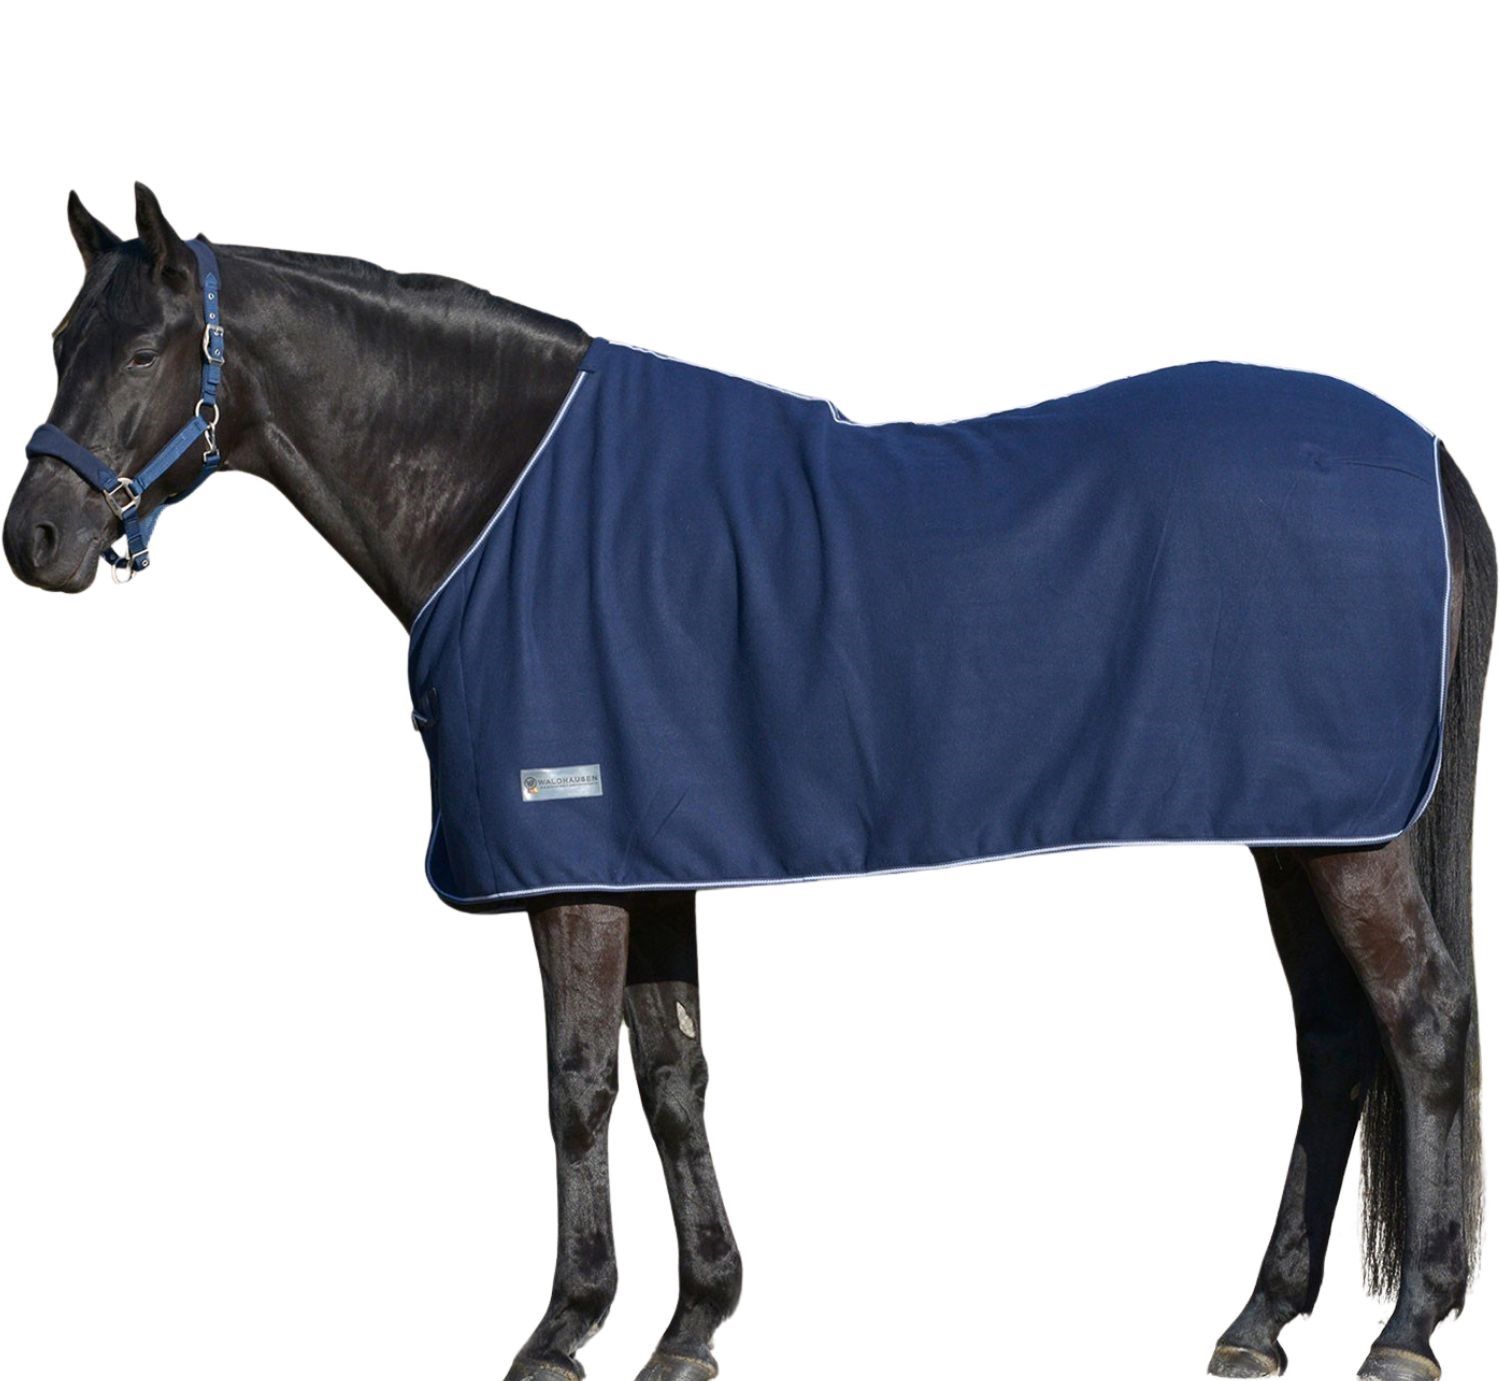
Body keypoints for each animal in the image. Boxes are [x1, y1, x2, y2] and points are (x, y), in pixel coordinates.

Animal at [5, 185, 1492, 1381]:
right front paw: (694, 1324)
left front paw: (563, 1330)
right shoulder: (646, 857)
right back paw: (1260, 1320)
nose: (39, 539)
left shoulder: (574, 870)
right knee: (1333, 1041)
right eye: (59, 342)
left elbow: (577, 1086)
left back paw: (1408, 1327)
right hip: (1298, 826)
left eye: (143, 349)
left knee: (1419, 1020)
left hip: (1347, 838)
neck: (505, 497)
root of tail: (1425, 452)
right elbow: (675, 1076)